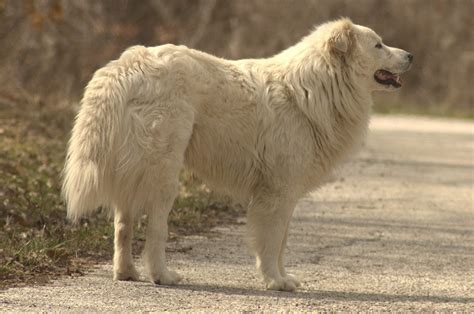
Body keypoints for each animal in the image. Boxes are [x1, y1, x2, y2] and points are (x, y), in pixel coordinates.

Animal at [62, 18, 412, 290]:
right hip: (163, 173)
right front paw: (274, 281)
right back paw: (162, 275)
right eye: (378, 45)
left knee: (122, 225)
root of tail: (129, 63)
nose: (411, 55)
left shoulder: (285, 193)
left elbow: (282, 242)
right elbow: (272, 241)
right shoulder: (277, 192)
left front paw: (282, 278)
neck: (317, 87)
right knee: (156, 229)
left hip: (133, 168)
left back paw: (126, 273)